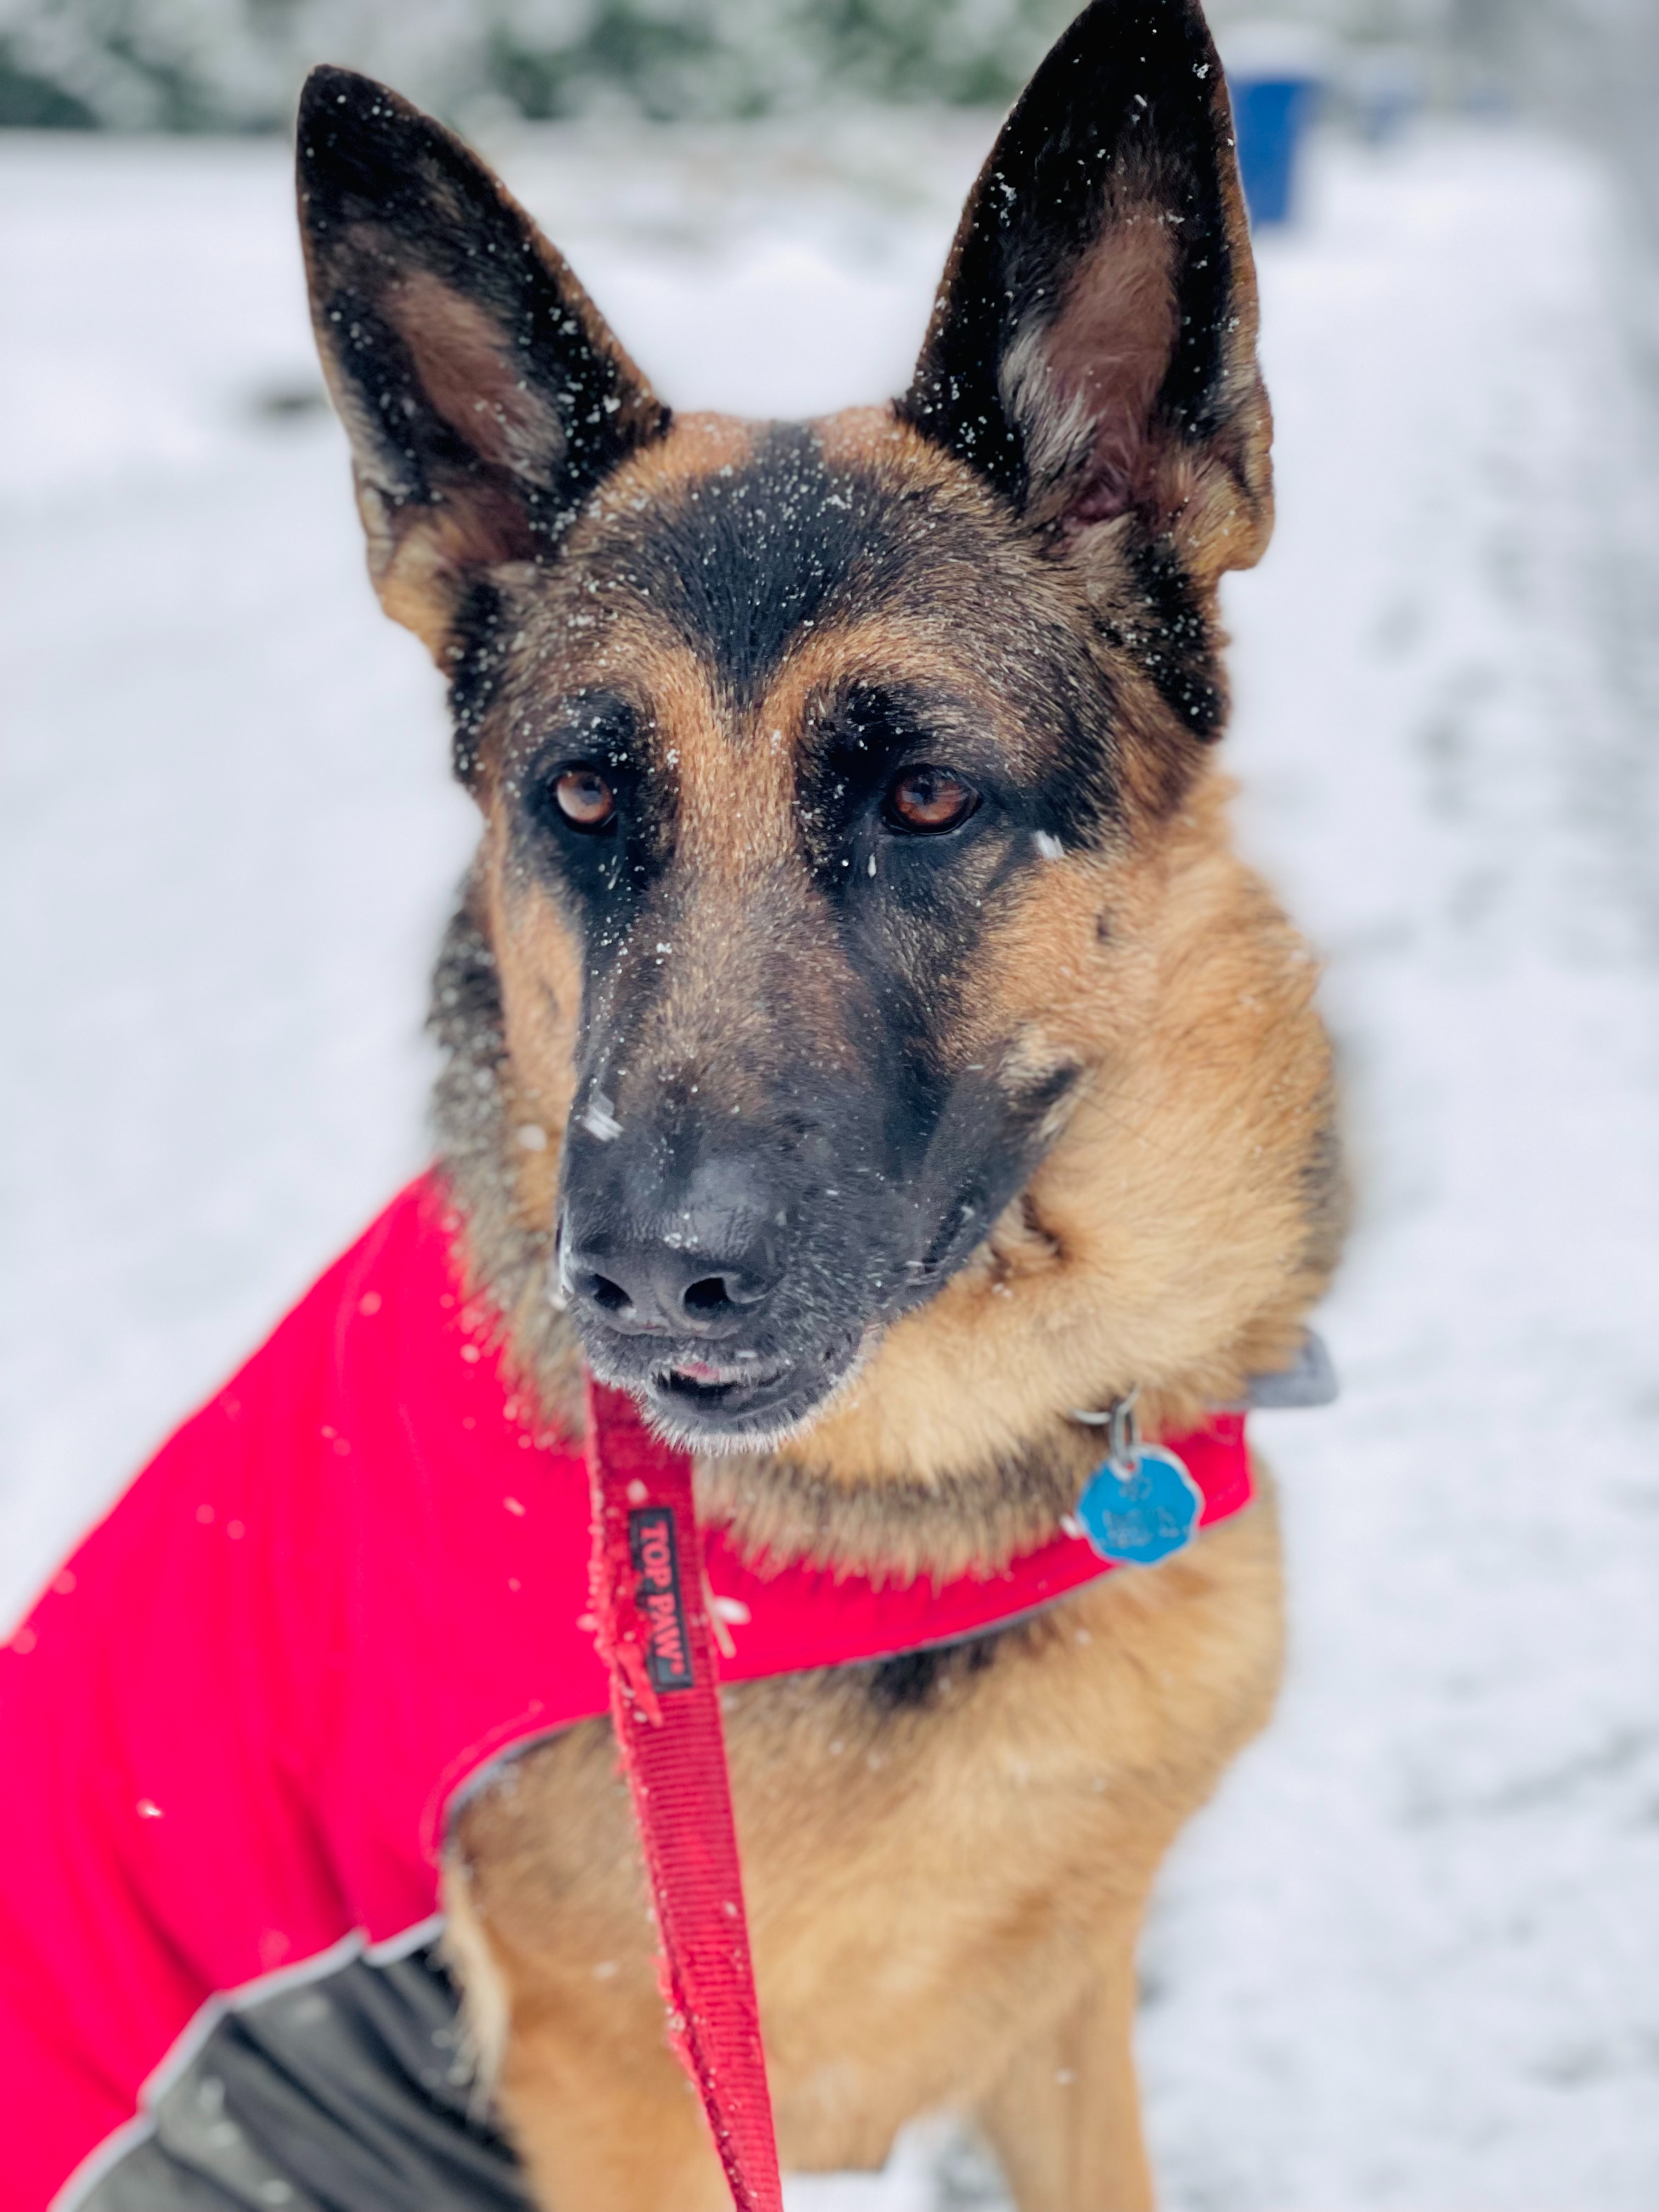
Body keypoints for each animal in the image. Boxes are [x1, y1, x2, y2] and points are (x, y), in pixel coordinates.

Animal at [1, 3, 1342, 2206]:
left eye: (923, 795)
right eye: (579, 797)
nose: (640, 1286)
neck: (959, 1484)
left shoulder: (1061, 2016)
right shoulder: (633, 2100)